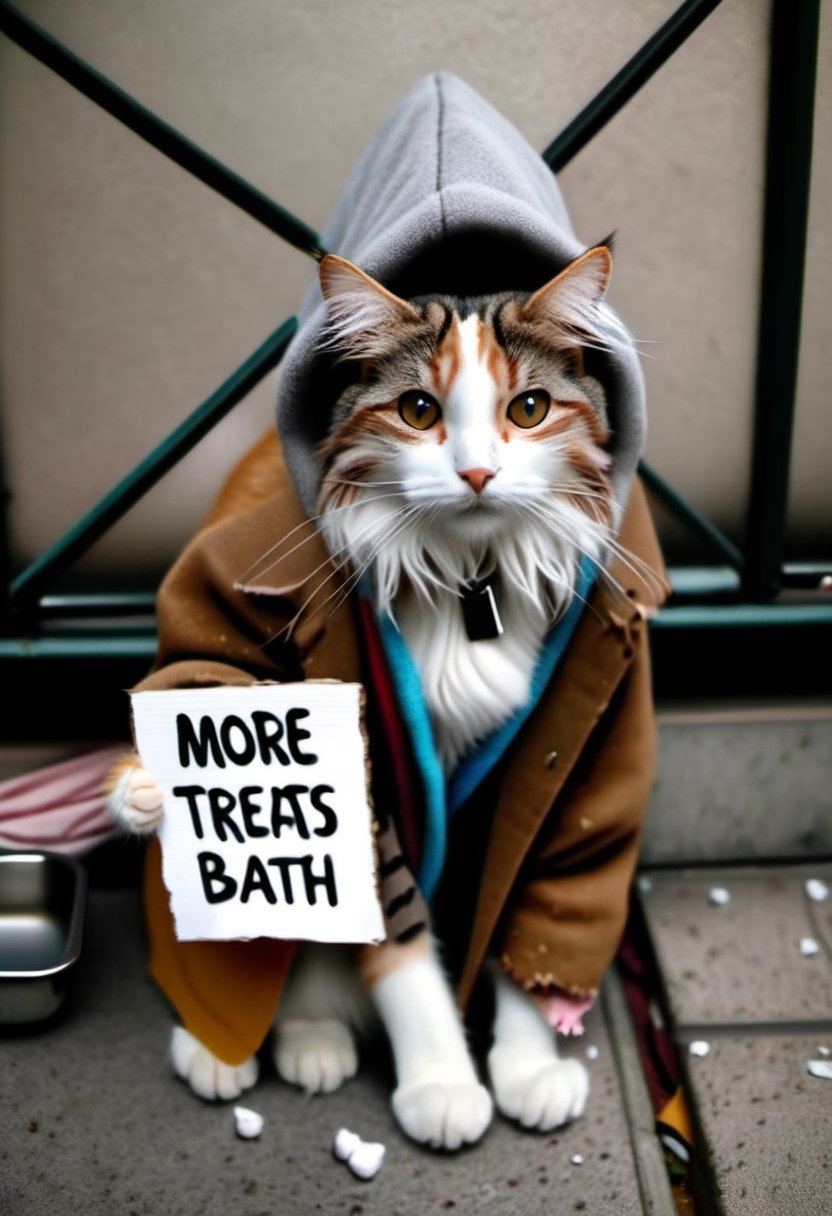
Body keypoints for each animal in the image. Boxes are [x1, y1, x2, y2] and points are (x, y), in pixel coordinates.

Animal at [111, 244, 632, 1147]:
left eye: (529, 408)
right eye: (418, 410)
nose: (477, 472)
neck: (469, 579)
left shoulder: (556, 771)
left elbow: (526, 905)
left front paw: (526, 1064)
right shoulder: (369, 781)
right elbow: (398, 945)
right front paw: (442, 1082)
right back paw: (250, 1043)